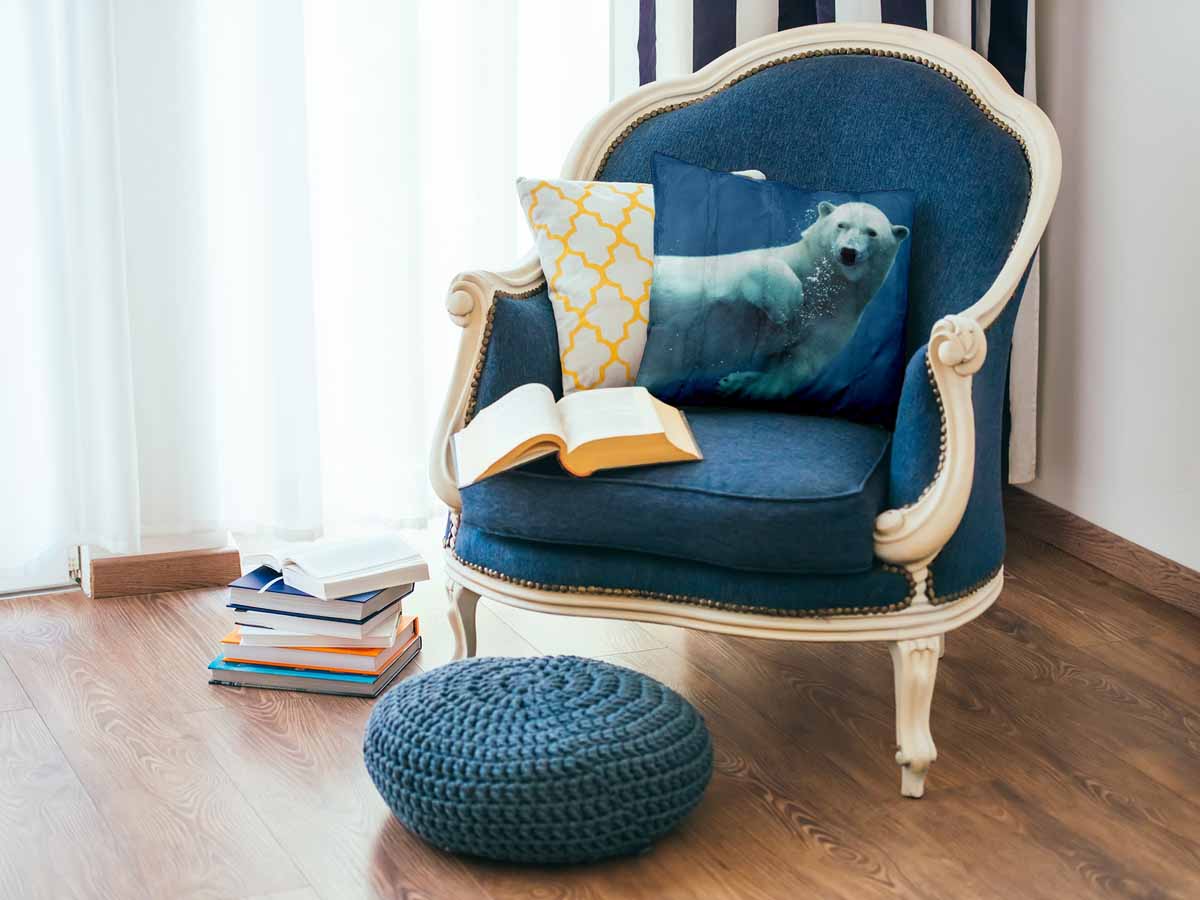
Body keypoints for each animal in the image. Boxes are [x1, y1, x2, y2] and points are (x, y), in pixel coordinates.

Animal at [639, 200, 908, 401]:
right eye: (842, 224)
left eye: (872, 232)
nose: (848, 252)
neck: (828, 288)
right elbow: (758, 269)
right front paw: (787, 307)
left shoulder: (838, 319)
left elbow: (797, 366)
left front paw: (736, 383)